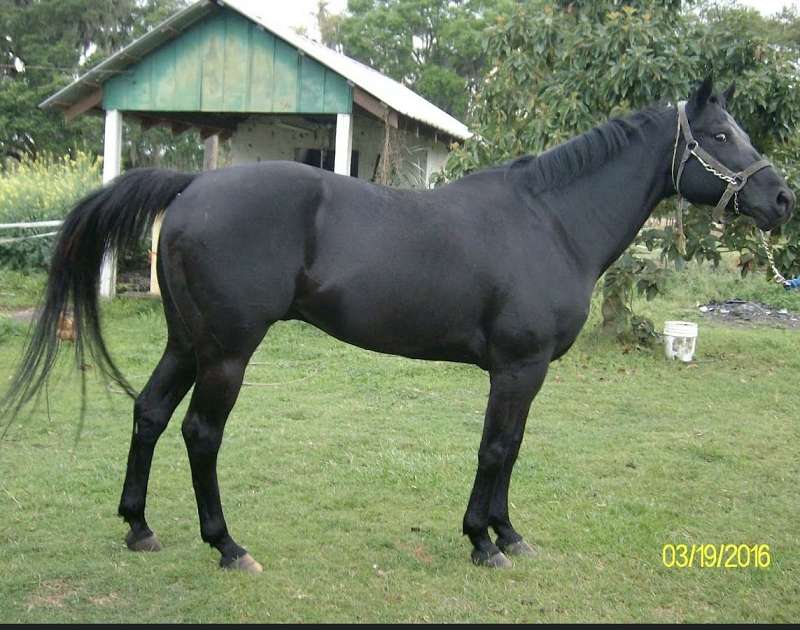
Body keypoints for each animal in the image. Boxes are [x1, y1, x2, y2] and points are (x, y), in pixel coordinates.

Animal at [3, 78, 794, 573]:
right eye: (721, 134)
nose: (782, 198)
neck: (551, 221)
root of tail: (194, 183)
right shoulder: (519, 367)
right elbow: (497, 448)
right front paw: (483, 541)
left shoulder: (524, 374)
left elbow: (510, 449)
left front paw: (507, 533)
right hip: (227, 350)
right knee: (200, 433)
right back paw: (228, 546)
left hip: (186, 341)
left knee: (149, 413)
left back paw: (139, 527)